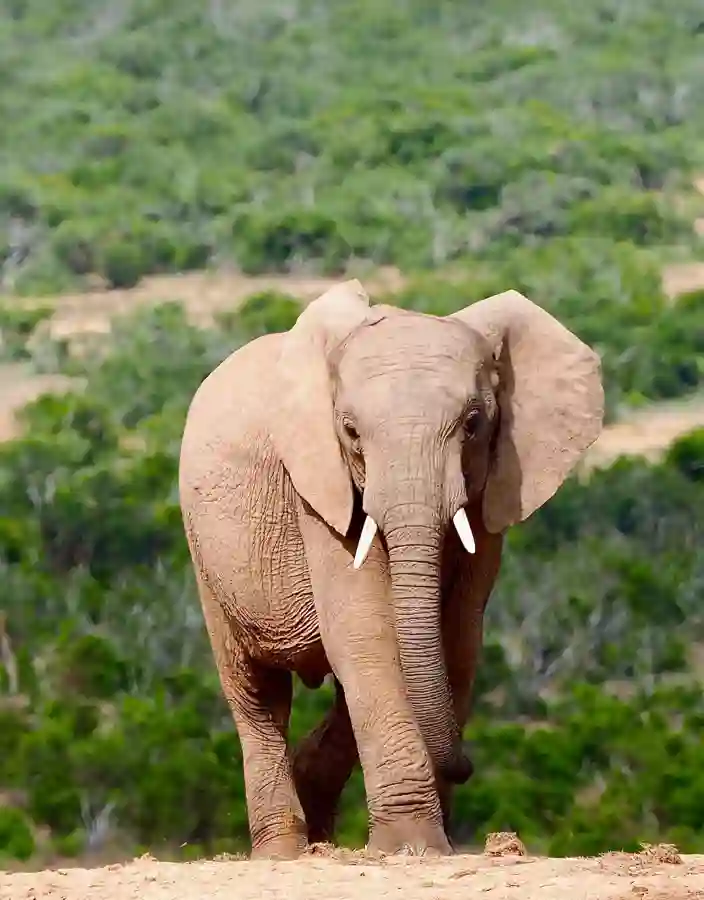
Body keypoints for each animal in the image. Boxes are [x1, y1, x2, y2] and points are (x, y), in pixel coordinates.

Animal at [178, 280, 604, 860]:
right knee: (258, 694)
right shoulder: (317, 491)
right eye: (351, 432)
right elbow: (366, 630)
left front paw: (432, 843)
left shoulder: (494, 492)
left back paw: (318, 830)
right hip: (207, 557)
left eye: (475, 424)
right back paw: (283, 851)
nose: (465, 765)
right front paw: (410, 847)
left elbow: (457, 638)